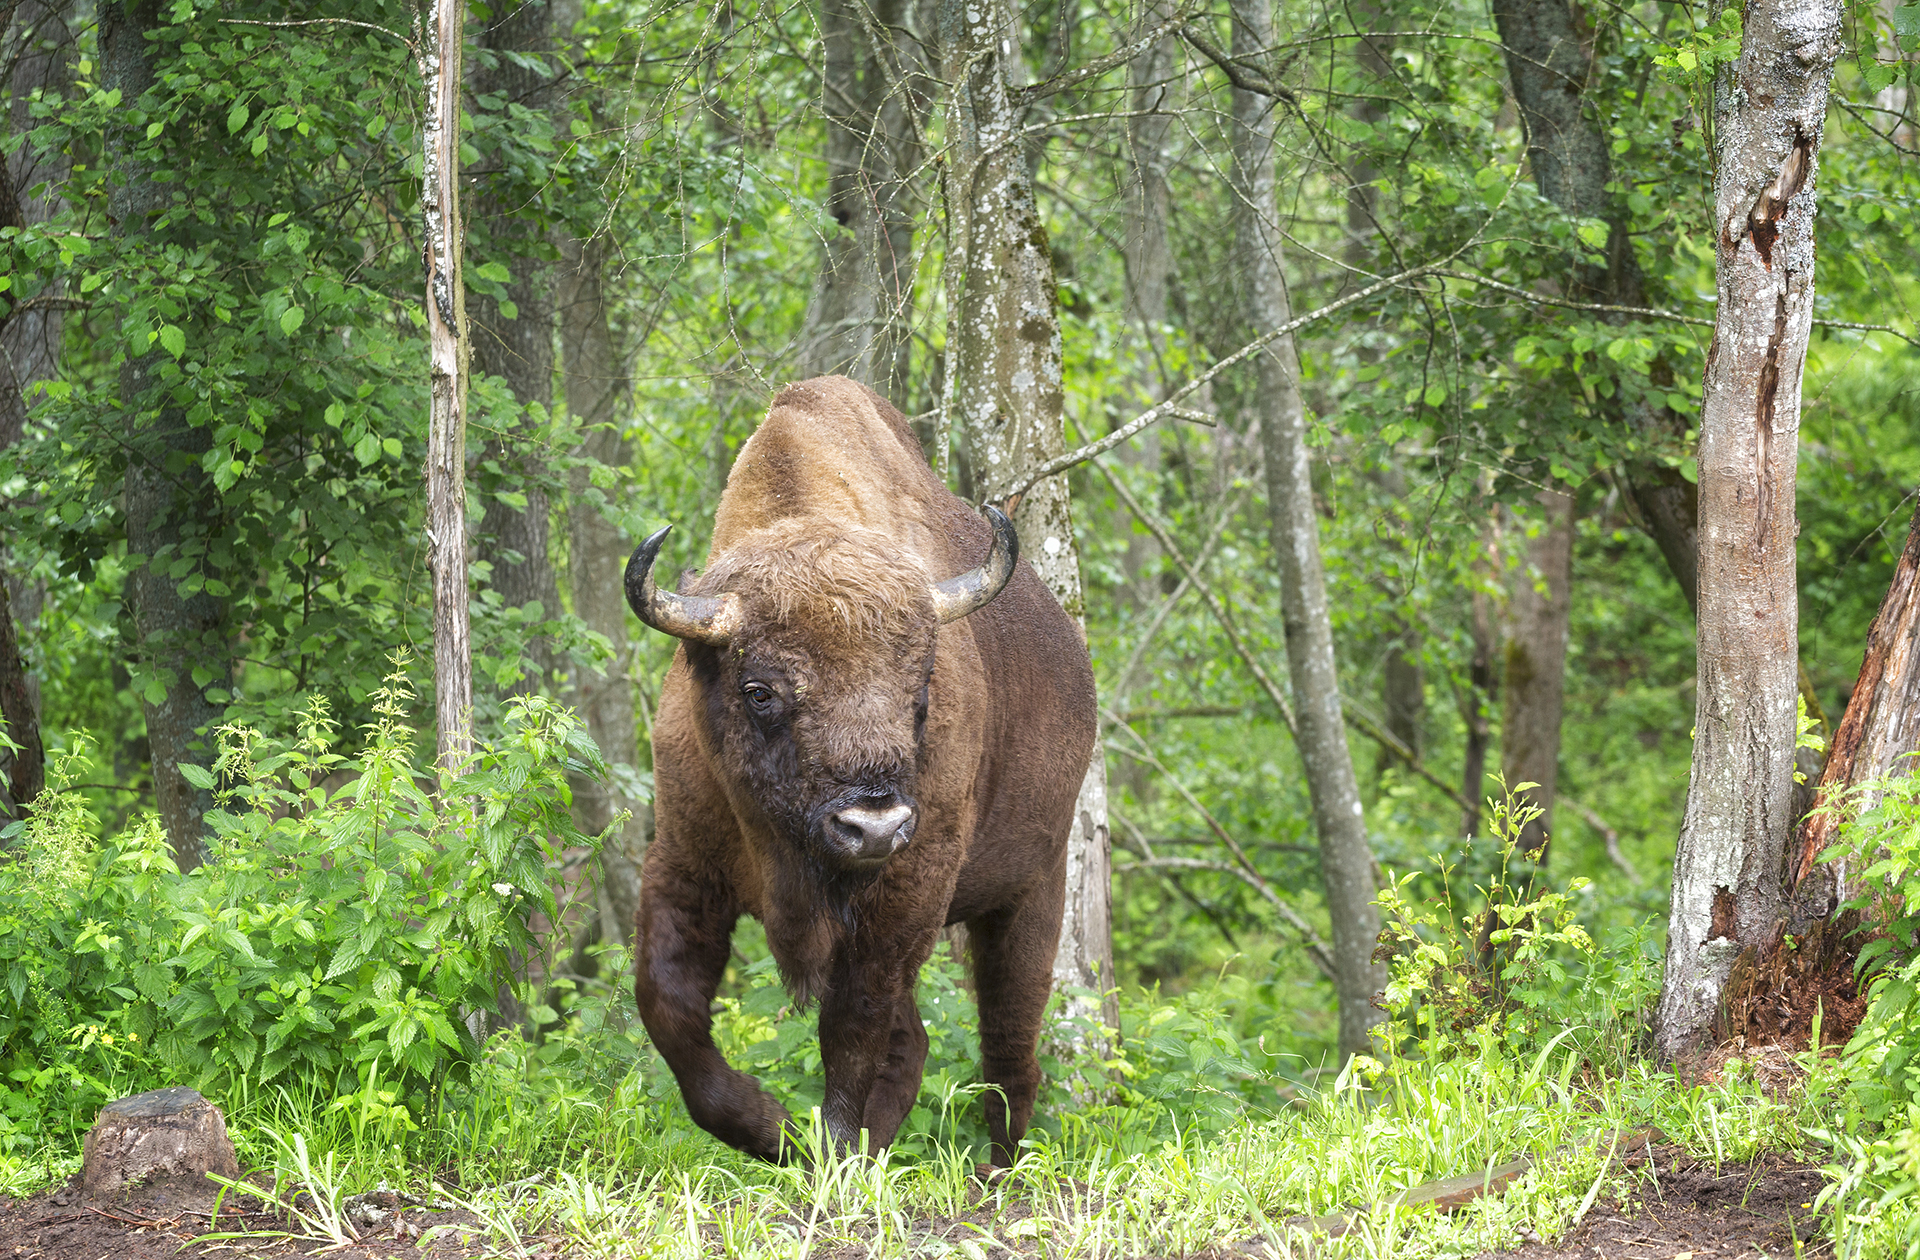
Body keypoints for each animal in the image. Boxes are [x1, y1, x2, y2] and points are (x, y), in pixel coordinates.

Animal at [625, 376, 1098, 1167]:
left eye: (922, 690)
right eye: (760, 690)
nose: (872, 825)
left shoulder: (907, 890)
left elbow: (854, 1025)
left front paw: (832, 1150)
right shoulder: (683, 866)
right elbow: (669, 1010)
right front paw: (780, 1132)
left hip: (1034, 888)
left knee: (1009, 1045)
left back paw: (995, 1171)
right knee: (926, 1042)